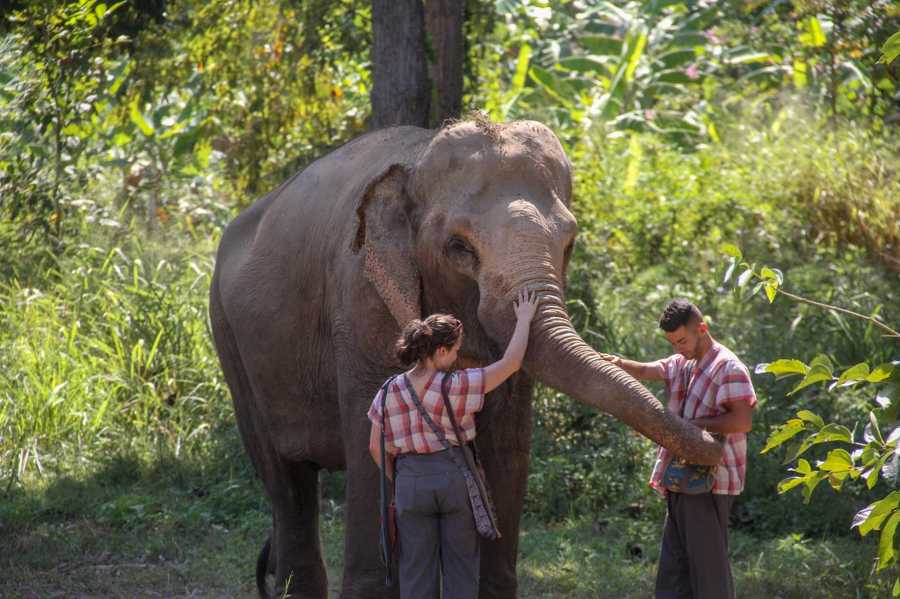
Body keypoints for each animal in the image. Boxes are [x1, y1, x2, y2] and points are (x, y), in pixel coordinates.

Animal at [208, 118, 722, 599]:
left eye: (570, 242)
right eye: (459, 247)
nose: (716, 441)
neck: (416, 162)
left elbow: (508, 440)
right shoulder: (359, 293)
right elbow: (373, 436)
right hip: (229, 336)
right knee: (283, 476)